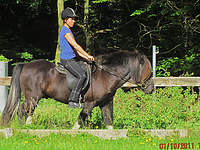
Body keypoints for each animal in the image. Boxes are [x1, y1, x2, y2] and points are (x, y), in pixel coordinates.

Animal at [0, 49, 154, 128]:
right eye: (146, 69)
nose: (151, 88)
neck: (106, 76)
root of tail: (26, 65)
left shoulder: (105, 103)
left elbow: (109, 122)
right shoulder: (90, 103)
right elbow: (80, 119)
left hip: (35, 98)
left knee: (28, 111)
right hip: (32, 97)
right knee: (22, 109)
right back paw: (23, 128)